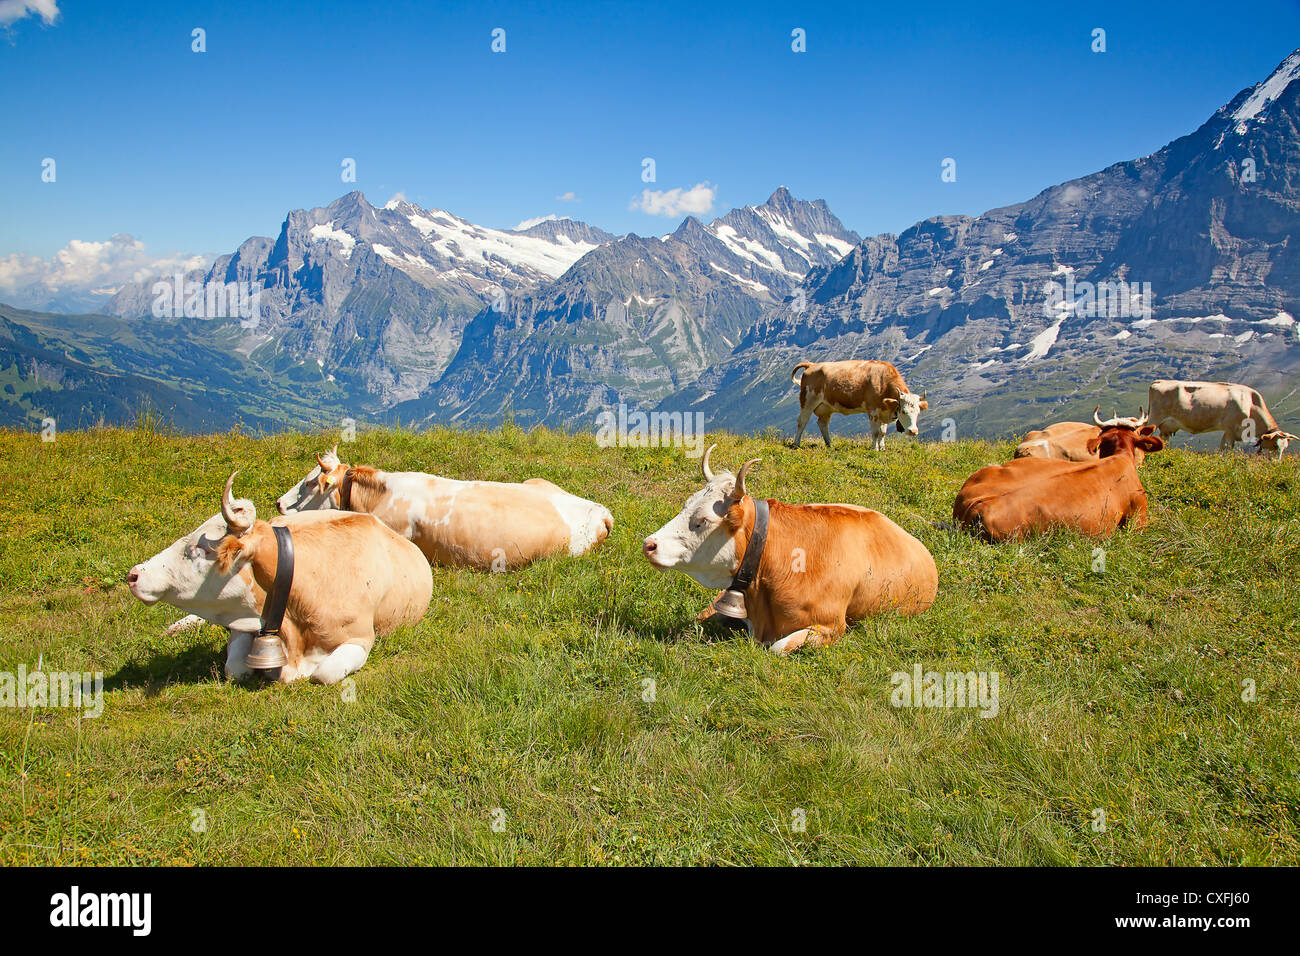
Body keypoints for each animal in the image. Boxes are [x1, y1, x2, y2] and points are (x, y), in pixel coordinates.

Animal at [641, 444, 938, 654]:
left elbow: (778, 648)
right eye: (685, 505)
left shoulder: (832, 627)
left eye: (702, 520)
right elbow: (698, 621)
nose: (649, 544)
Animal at [790, 360, 928, 450]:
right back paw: (796, 444)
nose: (913, 431)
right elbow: (875, 432)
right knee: (802, 421)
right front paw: (874, 448)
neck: (883, 382)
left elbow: (883, 432)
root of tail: (812, 365)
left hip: (826, 407)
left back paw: (829, 444)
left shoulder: (884, 412)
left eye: (918, 412)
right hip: (808, 401)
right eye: (903, 411)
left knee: (823, 424)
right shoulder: (873, 411)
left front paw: (882, 448)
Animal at [1148, 380, 1293, 455]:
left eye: (1285, 447)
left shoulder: (1229, 432)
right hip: (1155, 418)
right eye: (1275, 446)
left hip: (1166, 426)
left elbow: (1223, 448)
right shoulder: (1230, 429)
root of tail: (1160, 381)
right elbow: (1227, 449)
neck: (1251, 404)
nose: (1277, 463)